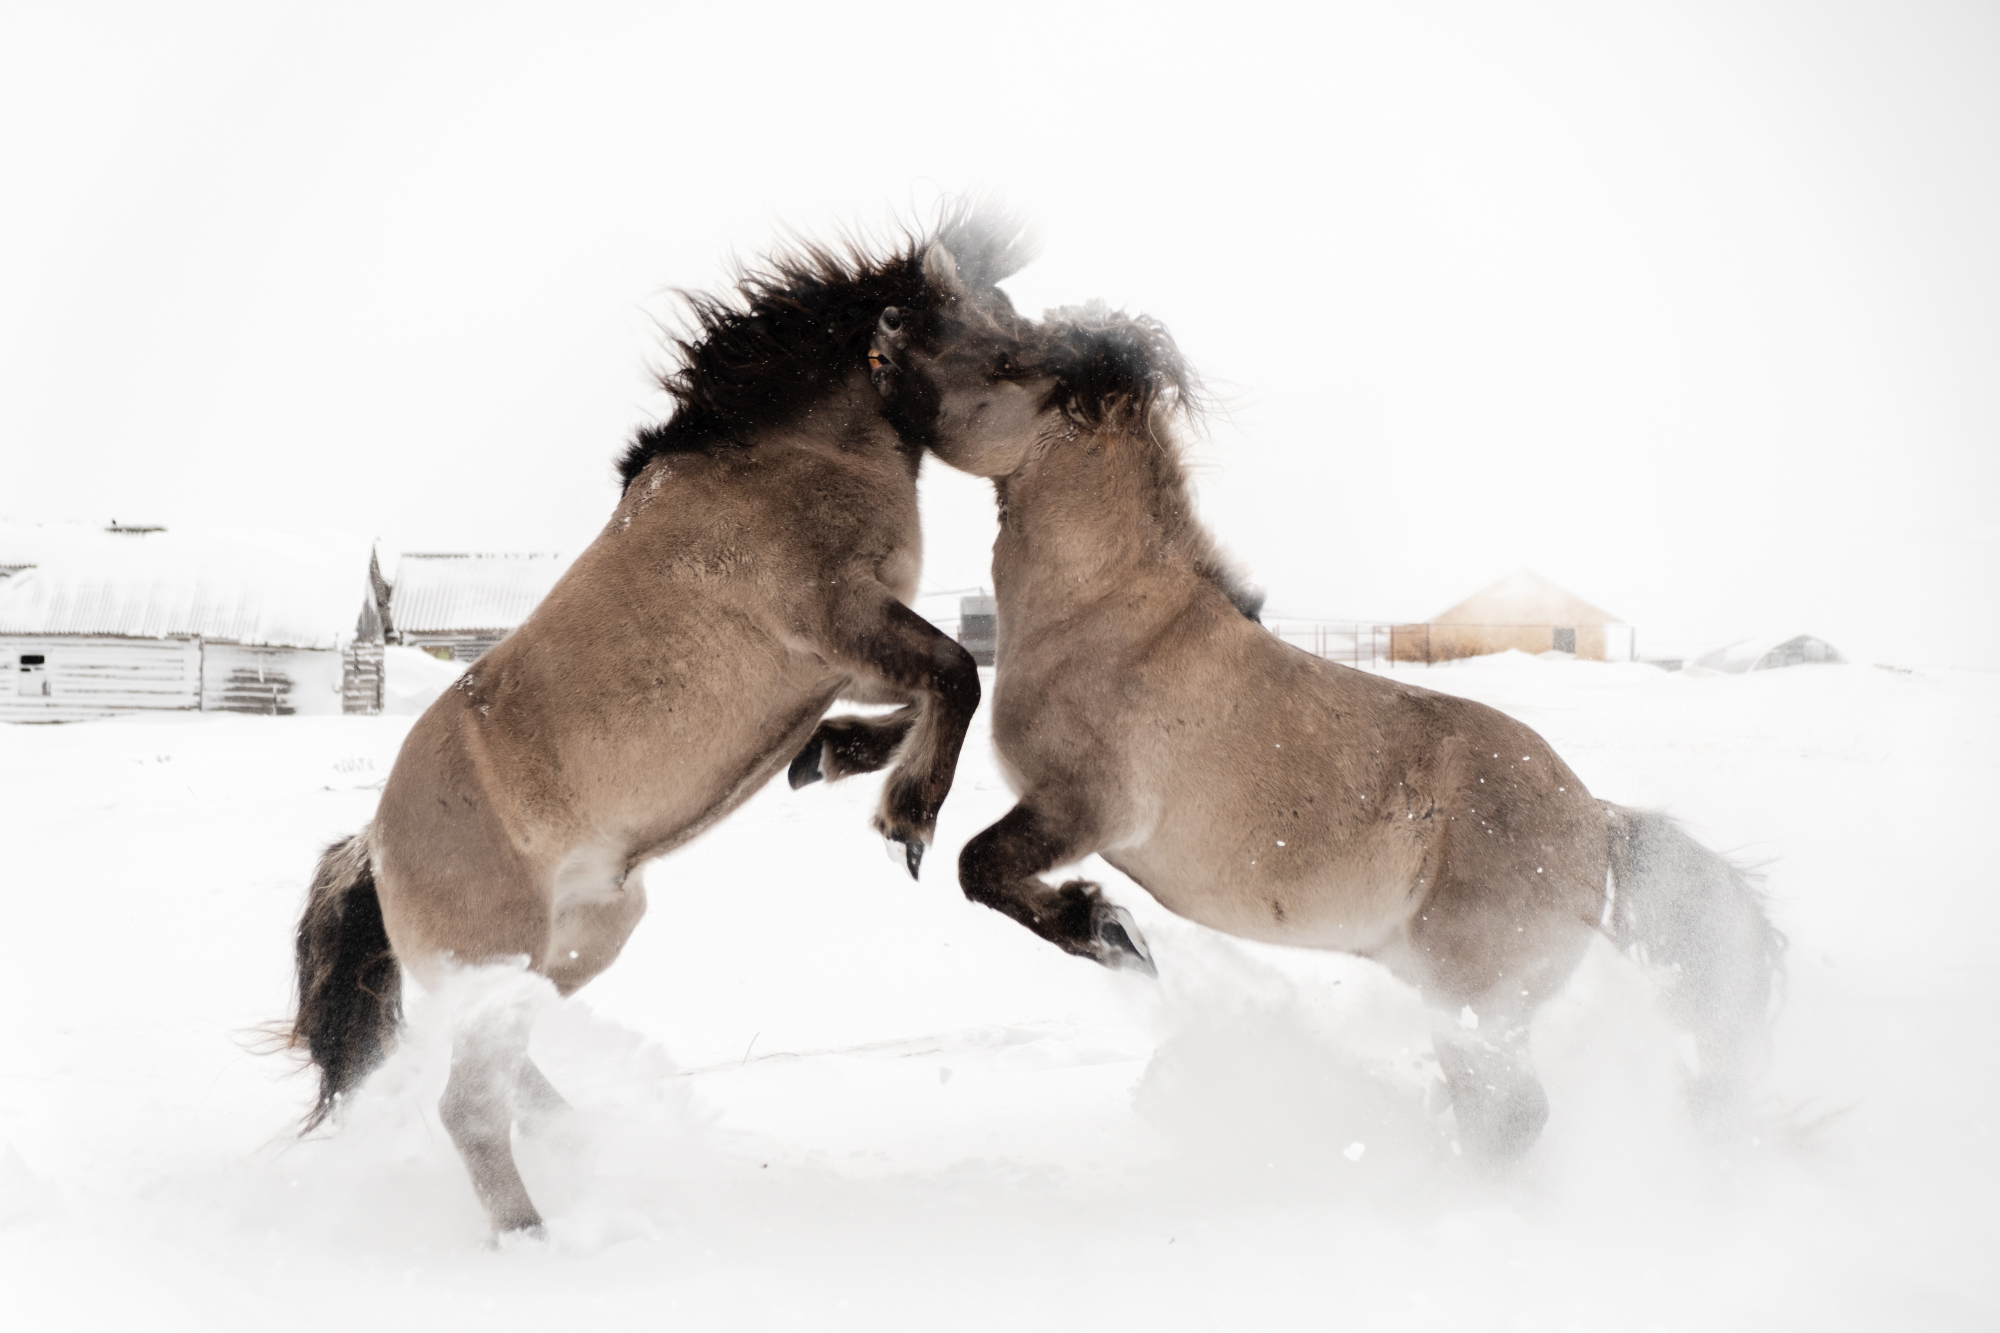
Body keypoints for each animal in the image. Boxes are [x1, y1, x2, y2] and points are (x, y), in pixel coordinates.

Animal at [282, 210, 1031, 1237]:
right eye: (992, 334)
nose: (1075, 382)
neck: (790, 454)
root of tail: (375, 842)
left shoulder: (845, 653)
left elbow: (925, 694)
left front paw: (833, 758)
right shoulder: (841, 617)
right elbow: (957, 675)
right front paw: (907, 819)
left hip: (583, 938)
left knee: (499, 1073)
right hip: (509, 957)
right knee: (469, 1105)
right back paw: (535, 1238)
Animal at [864, 266, 1784, 1158]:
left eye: (1007, 358)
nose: (888, 324)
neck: (1106, 611)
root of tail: (1596, 819)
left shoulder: (1084, 808)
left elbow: (979, 867)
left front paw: (1109, 929)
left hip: (1471, 1001)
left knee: (1511, 1117)